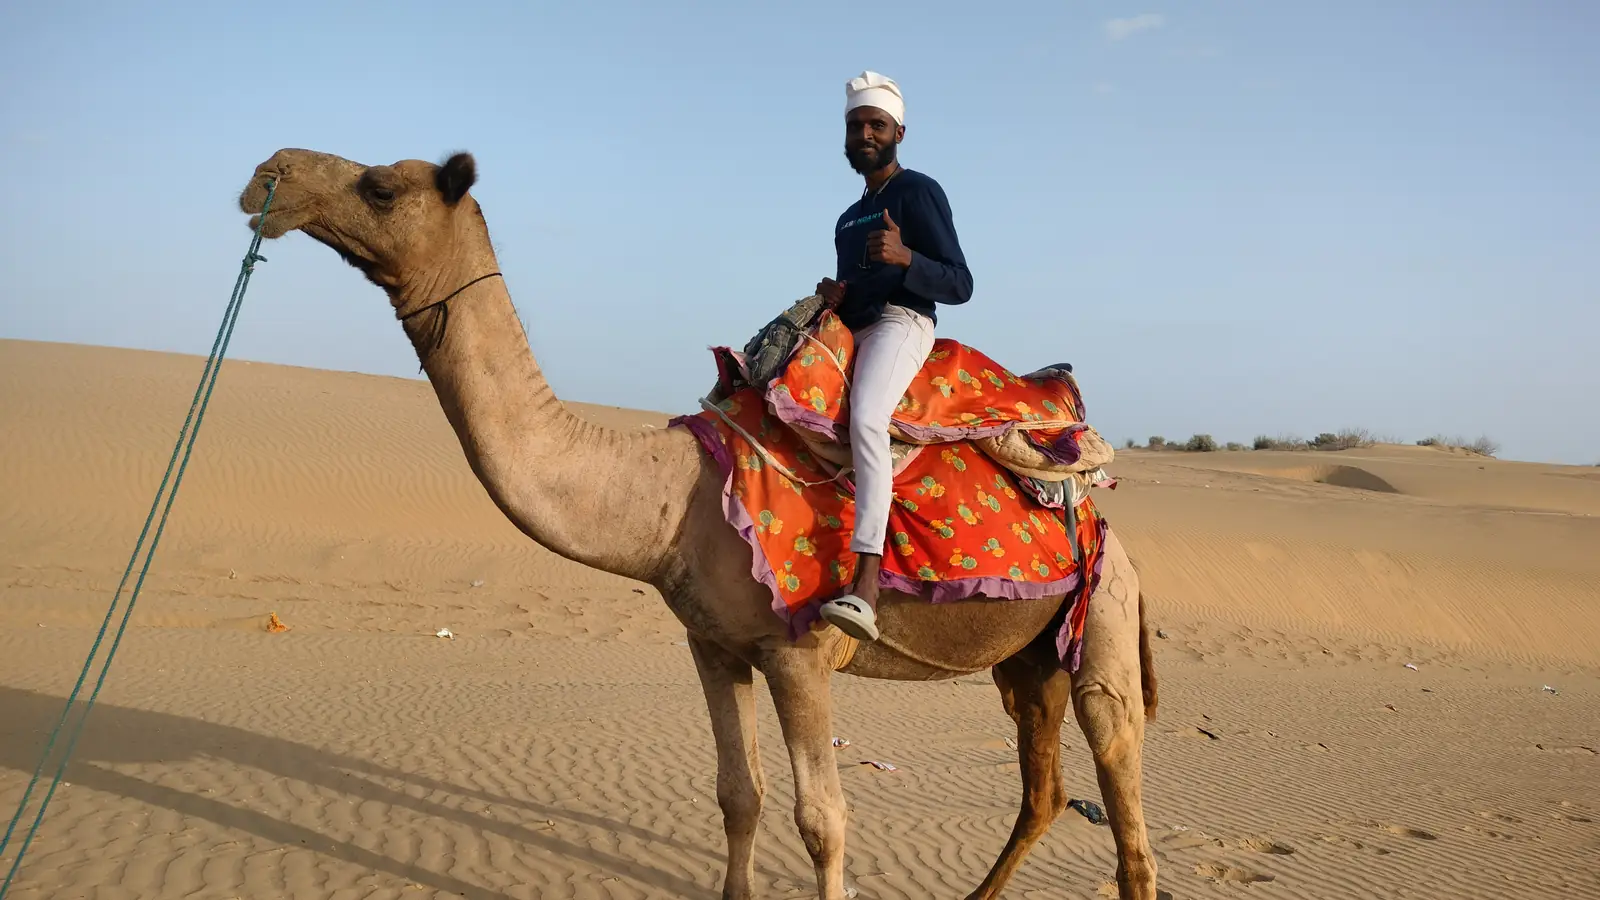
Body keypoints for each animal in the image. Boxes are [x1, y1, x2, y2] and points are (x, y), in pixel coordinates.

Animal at [236, 148, 1160, 900]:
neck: (672, 500)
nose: (266, 175)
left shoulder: (799, 655)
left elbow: (822, 819)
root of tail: (1104, 512)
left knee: (1121, 789)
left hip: (1104, 617)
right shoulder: (714, 646)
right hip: (1027, 656)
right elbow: (737, 796)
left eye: (381, 186)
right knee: (1042, 791)